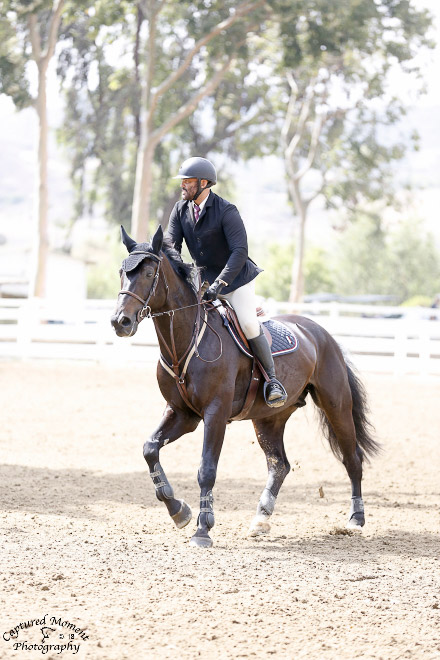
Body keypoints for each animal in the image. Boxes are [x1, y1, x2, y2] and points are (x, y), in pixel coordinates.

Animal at [111, 224, 378, 548]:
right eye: (121, 273)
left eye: (149, 273)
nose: (120, 322)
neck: (185, 343)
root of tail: (321, 332)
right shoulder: (181, 413)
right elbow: (150, 448)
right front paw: (179, 511)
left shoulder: (214, 413)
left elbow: (206, 469)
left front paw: (203, 529)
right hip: (269, 418)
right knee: (279, 464)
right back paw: (261, 519)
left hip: (336, 404)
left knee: (352, 458)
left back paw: (356, 519)